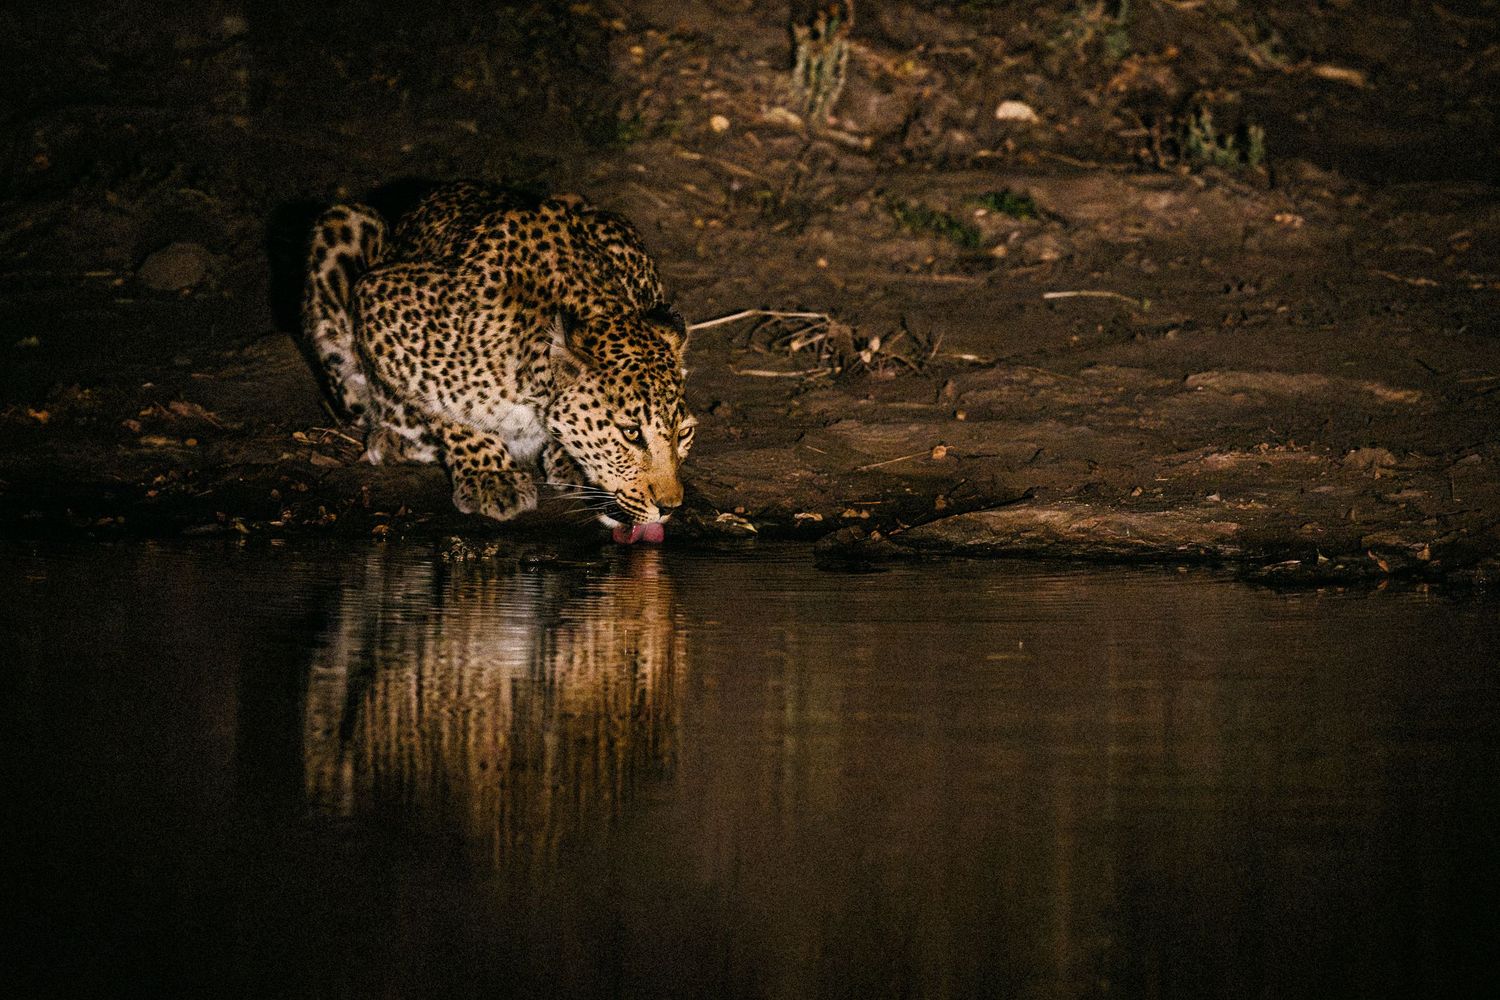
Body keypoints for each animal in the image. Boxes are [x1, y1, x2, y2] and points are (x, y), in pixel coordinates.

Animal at [301, 180, 695, 536]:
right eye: (630, 433)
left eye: (685, 433)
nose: (669, 507)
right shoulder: (379, 297)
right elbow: (448, 411)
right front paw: (491, 476)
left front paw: (564, 460)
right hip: (345, 222)